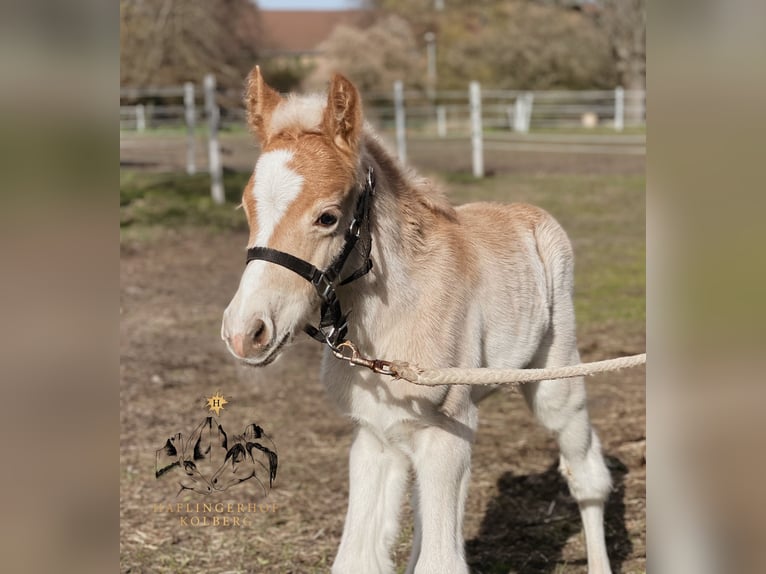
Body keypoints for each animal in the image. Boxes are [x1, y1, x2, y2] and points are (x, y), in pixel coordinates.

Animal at [220, 68, 612, 574]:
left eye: (327, 216)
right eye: (246, 207)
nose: (244, 333)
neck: (393, 318)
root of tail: (530, 212)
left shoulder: (443, 434)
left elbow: (440, 561)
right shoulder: (375, 434)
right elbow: (360, 557)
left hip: (556, 379)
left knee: (585, 474)